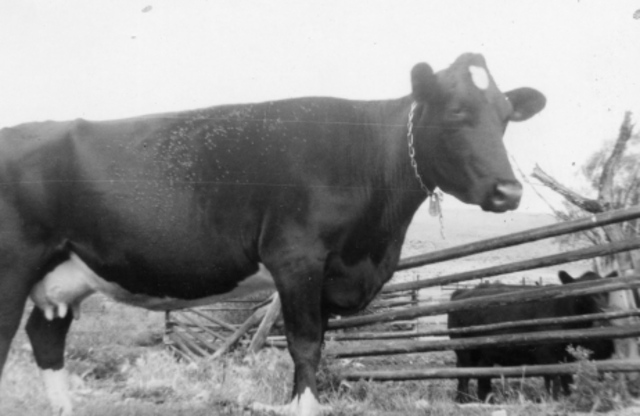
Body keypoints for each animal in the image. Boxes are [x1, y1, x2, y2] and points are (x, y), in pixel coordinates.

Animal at [0, 53, 545, 416]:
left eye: (505, 118)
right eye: (457, 113)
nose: (509, 191)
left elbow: (317, 345)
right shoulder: (296, 258)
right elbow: (304, 348)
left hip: (65, 273)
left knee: (45, 337)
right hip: (13, 266)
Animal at [448, 271, 615, 403]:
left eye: (606, 292)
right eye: (584, 292)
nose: (604, 309)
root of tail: (460, 293)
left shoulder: (566, 357)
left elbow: (567, 380)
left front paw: (568, 398)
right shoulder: (546, 355)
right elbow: (553, 380)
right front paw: (553, 400)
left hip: (485, 355)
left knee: (483, 376)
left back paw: (486, 400)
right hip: (464, 351)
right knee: (463, 374)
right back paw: (463, 399)